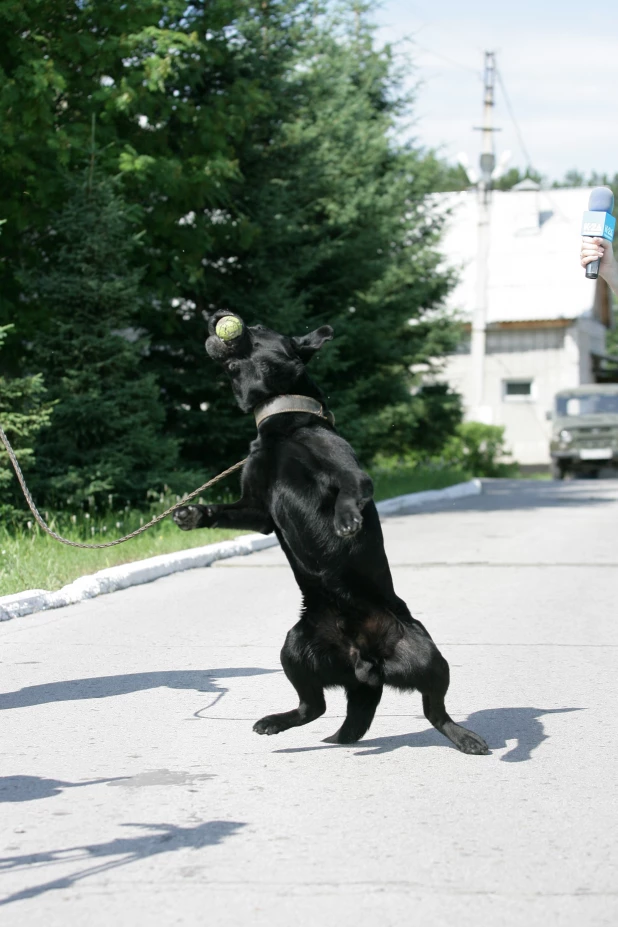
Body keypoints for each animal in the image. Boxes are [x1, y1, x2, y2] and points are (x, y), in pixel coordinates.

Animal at [172, 314, 486, 752]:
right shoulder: (257, 509)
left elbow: (351, 489)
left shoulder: (350, 472)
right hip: (294, 647)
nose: (215, 315)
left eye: (257, 326)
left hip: (427, 654)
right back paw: (276, 723)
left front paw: (346, 521)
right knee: (314, 706)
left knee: (434, 710)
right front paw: (191, 513)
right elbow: (231, 512)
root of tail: (364, 663)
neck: (283, 422)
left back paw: (466, 737)